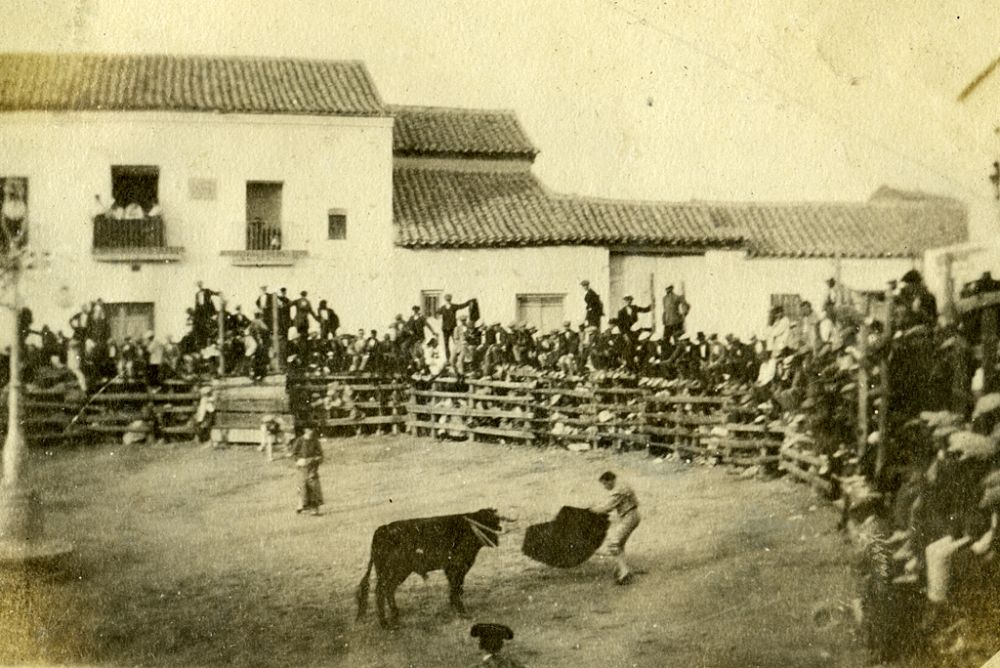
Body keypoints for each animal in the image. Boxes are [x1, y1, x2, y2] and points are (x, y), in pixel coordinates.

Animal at [356, 508, 504, 628]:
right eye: (488, 522)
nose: (500, 531)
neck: (467, 529)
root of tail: (382, 529)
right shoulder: (456, 568)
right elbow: (457, 588)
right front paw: (463, 612)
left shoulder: (454, 569)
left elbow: (456, 589)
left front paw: (455, 608)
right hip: (393, 571)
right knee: (381, 591)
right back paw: (385, 623)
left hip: (395, 572)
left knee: (388, 590)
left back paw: (395, 616)